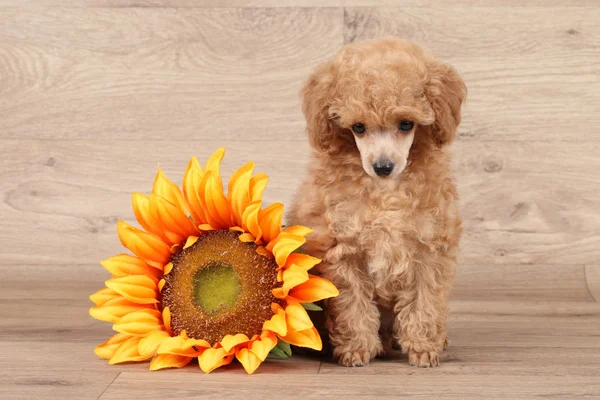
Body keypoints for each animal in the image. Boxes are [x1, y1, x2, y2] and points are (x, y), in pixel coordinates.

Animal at [288, 36, 466, 368]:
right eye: (358, 127)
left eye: (406, 124)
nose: (383, 166)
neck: (385, 191)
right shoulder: (343, 249)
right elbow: (352, 304)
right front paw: (357, 349)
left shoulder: (430, 246)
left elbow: (425, 300)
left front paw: (423, 347)